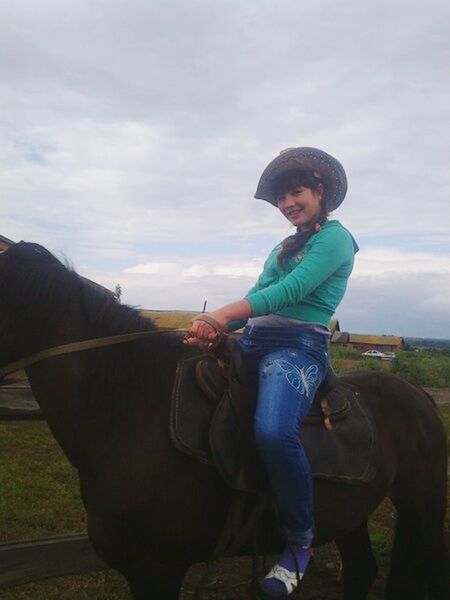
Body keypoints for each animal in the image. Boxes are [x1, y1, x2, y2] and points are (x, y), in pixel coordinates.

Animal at [0, 241, 448, 596]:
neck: (129, 411)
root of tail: (417, 394)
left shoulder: (156, 569)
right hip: (352, 510)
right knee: (360, 572)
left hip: (419, 503)